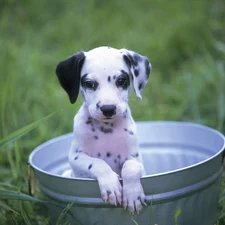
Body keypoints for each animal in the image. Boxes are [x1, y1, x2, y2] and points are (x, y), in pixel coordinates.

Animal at [55, 46, 151, 213]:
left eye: (121, 80)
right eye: (89, 83)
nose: (108, 109)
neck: (107, 129)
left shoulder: (136, 160)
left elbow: (130, 168)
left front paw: (132, 195)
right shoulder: (76, 158)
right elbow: (97, 163)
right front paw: (111, 185)